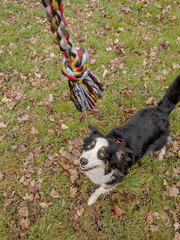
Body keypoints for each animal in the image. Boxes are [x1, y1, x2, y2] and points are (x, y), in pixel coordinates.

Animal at [79, 74, 179, 204]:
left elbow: (100, 189)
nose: (82, 160)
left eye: (102, 154)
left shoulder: (117, 178)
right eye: (89, 146)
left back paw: (161, 156)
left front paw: (91, 200)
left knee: (167, 142)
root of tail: (161, 110)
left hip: (157, 143)